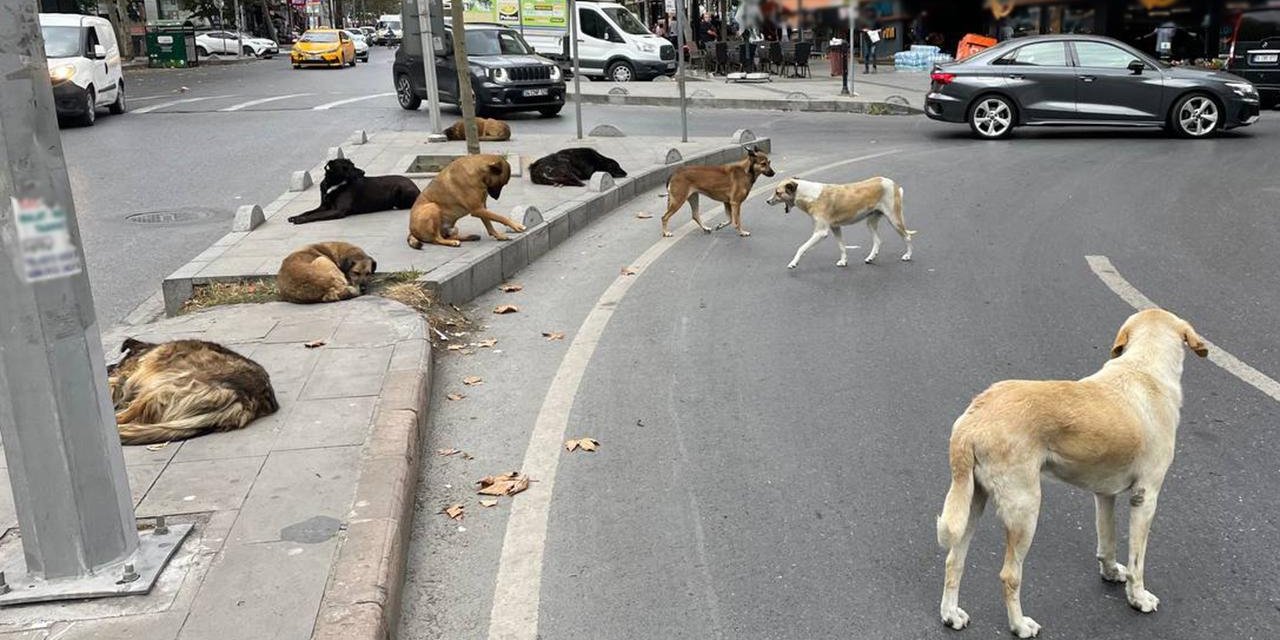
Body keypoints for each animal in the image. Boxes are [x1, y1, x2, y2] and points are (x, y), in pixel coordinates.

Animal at [289, 159, 419, 225]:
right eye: (347, 167)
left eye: (353, 165)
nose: (363, 172)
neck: (333, 184)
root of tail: (416, 186)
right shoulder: (324, 206)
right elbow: (308, 212)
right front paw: (295, 216)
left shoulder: (338, 210)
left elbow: (315, 215)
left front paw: (300, 220)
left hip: (400, 190)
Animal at [762, 175, 916, 267]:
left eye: (778, 192)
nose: (767, 201)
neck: (809, 195)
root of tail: (892, 183)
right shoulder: (835, 227)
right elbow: (842, 246)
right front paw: (843, 261)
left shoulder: (821, 232)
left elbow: (801, 248)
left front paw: (794, 263)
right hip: (871, 222)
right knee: (878, 240)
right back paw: (870, 258)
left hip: (894, 219)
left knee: (907, 236)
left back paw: (908, 255)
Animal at [936, 308, 1203, 634]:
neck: (1143, 368)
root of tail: (973, 419)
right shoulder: (1146, 497)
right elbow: (1137, 562)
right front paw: (1138, 598)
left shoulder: (1104, 494)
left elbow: (1107, 541)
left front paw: (1111, 572)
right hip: (1025, 511)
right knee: (1009, 576)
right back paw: (1020, 625)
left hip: (972, 503)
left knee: (954, 560)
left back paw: (951, 614)